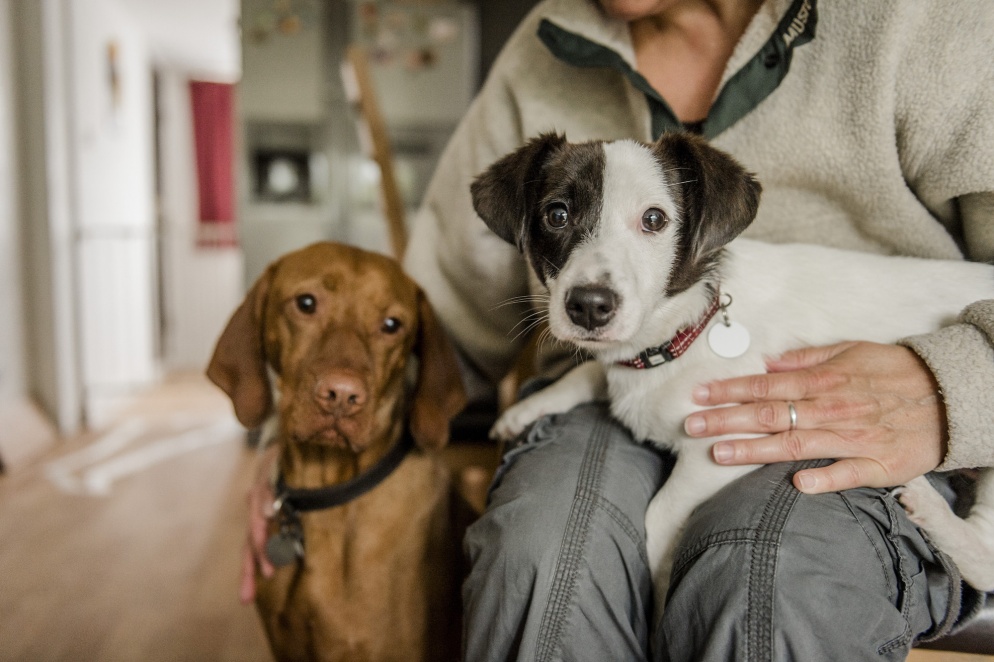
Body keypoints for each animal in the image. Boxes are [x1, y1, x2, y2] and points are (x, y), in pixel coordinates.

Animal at [470, 132, 992, 616]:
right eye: (556, 215)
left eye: (654, 219)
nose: (589, 306)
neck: (677, 338)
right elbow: (586, 374)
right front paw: (527, 408)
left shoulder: (723, 445)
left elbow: (659, 514)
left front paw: (659, 596)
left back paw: (930, 509)